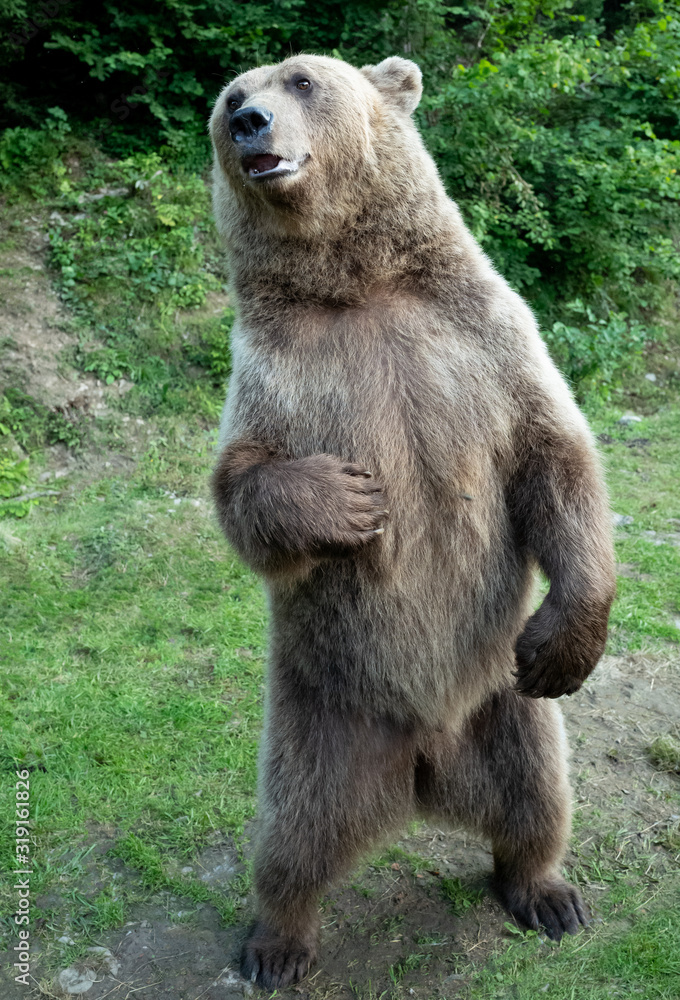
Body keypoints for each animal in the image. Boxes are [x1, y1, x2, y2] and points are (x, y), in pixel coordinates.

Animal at [208, 53, 616, 989]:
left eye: (301, 80)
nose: (249, 122)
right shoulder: (277, 373)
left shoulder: (483, 338)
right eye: (229, 97)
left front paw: (568, 638)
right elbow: (242, 484)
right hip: (320, 717)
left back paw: (546, 892)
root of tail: (423, 766)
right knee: (292, 835)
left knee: (539, 795)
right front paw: (348, 498)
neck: (359, 286)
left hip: (504, 704)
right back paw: (276, 942)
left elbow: (553, 454)